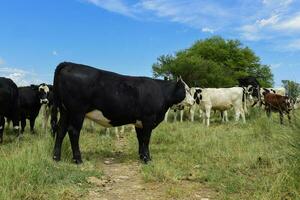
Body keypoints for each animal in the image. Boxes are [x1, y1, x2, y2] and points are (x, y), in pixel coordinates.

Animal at [50, 62, 193, 164]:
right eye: (186, 89)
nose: (193, 101)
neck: (161, 92)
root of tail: (69, 64)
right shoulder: (148, 119)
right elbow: (146, 139)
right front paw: (147, 159)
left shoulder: (139, 122)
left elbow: (140, 139)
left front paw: (142, 156)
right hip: (77, 112)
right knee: (73, 131)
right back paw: (78, 159)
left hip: (65, 111)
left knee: (61, 130)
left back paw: (56, 157)